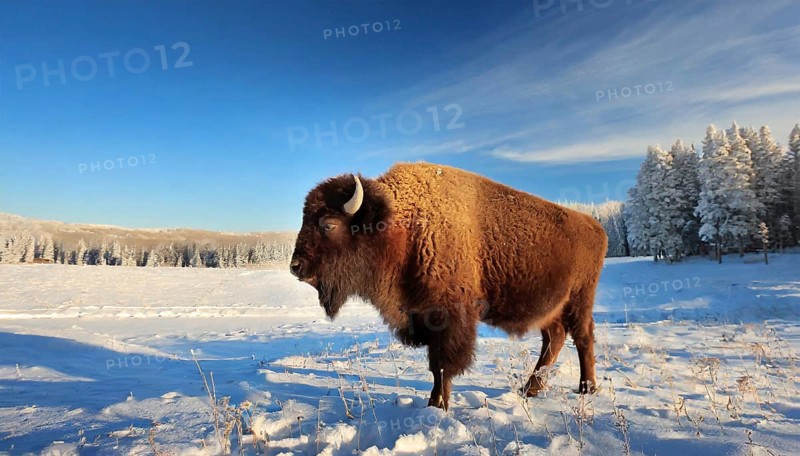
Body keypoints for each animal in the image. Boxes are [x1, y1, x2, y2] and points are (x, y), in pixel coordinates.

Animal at [290, 162, 608, 409]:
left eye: (328, 224)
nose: (296, 267)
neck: (402, 223)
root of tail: (596, 227)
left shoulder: (448, 317)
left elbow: (442, 364)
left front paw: (437, 405)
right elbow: (436, 365)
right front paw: (435, 404)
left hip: (579, 298)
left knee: (583, 336)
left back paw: (586, 388)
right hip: (551, 307)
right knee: (554, 339)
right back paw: (529, 389)